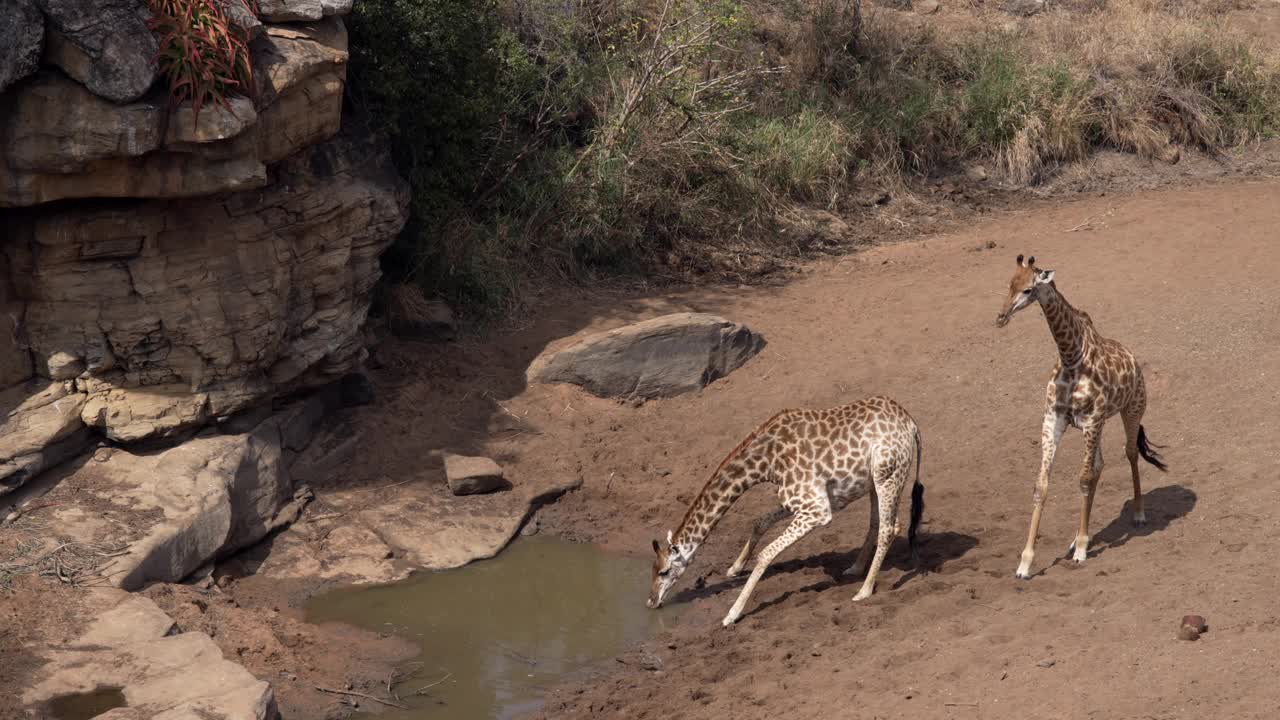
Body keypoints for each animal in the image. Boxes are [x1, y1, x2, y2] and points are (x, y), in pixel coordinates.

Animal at [645, 394, 926, 625]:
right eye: (653, 569)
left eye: (664, 571)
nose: (651, 601)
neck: (766, 462)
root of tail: (911, 424)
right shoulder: (797, 502)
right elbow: (760, 521)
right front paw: (734, 568)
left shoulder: (817, 509)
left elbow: (766, 554)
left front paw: (732, 613)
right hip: (873, 481)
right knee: (877, 522)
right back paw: (855, 568)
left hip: (887, 475)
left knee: (890, 527)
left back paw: (864, 591)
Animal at [998, 252, 1172, 576]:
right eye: (1008, 284)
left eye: (1028, 289)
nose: (1000, 317)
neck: (1071, 355)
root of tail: (1134, 361)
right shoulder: (1054, 420)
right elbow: (1042, 485)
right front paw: (1026, 563)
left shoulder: (1090, 421)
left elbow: (1082, 479)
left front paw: (1080, 550)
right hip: (1100, 424)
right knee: (1100, 465)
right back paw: (1080, 537)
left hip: (1131, 410)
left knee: (1129, 453)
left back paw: (1137, 515)